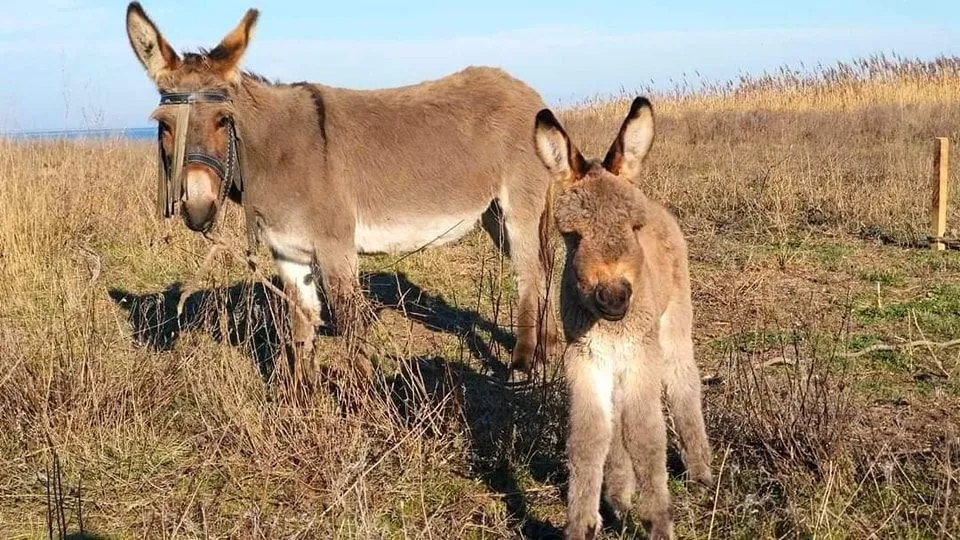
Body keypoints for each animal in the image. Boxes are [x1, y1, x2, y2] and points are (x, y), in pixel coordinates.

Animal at [540, 98, 712, 540]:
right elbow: (589, 438)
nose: (614, 298)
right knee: (615, 420)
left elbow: (647, 437)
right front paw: (582, 523)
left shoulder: (642, 356)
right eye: (572, 236)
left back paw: (700, 471)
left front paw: (658, 523)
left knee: (684, 384)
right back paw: (619, 493)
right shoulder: (584, 359)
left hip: (673, 326)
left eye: (634, 228)